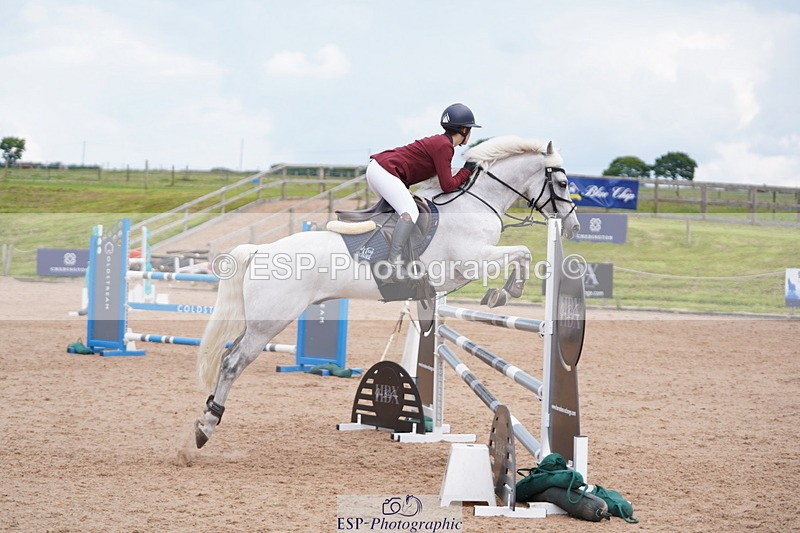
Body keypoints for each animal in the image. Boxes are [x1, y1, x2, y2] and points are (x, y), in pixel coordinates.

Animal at [194, 135, 580, 448]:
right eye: (562, 182)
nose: (574, 227)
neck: (475, 203)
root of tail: (260, 249)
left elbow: (519, 255)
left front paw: (501, 293)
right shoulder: (473, 261)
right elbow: (523, 253)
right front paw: (506, 292)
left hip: (258, 320)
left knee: (230, 355)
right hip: (270, 322)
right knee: (232, 362)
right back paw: (206, 425)